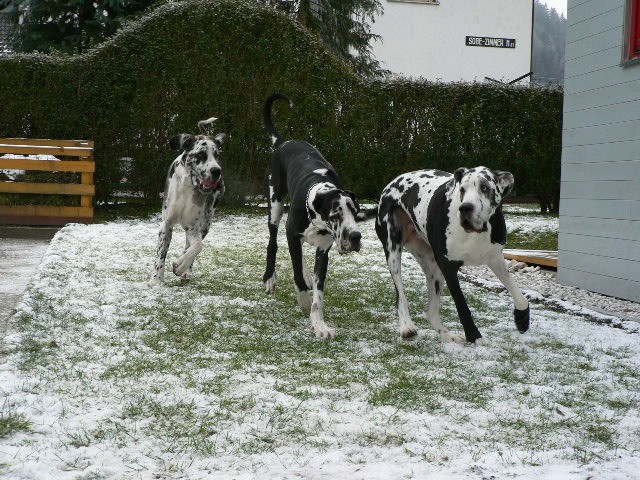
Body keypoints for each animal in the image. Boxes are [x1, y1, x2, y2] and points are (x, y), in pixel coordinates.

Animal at [150, 118, 228, 286]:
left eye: (217, 155)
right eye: (200, 154)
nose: (216, 171)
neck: (188, 185)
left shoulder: (193, 227)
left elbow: (197, 246)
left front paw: (181, 265)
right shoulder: (166, 224)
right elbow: (161, 254)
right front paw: (156, 280)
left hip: (206, 222)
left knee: (191, 245)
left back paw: (186, 268)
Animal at [262, 94, 370, 340]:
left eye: (355, 212)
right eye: (336, 213)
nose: (356, 237)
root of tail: (285, 142)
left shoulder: (323, 250)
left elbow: (319, 295)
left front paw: (319, 324)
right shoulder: (291, 233)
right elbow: (296, 276)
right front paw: (302, 300)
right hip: (275, 204)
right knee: (273, 242)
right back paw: (270, 277)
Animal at [376, 167, 528, 344]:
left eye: (484, 187)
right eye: (462, 189)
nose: (466, 208)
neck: (476, 232)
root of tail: (391, 184)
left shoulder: (495, 258)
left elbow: (519, 295)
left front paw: (522, 318)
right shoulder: (449, 268)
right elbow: (462, 307)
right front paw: (474, 336)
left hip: (433, 267)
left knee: (432, 311)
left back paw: (448, 335)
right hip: (394, 254)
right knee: (400, 296)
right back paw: (406, 326)